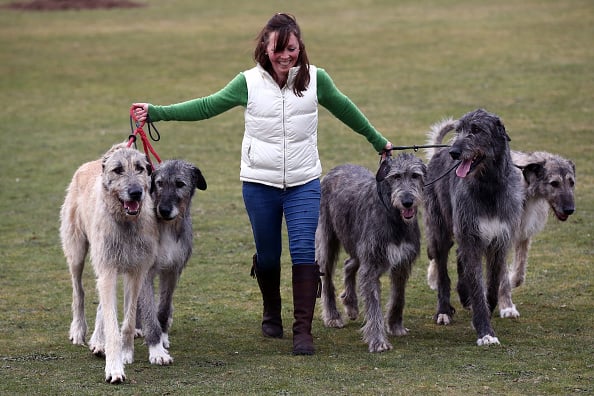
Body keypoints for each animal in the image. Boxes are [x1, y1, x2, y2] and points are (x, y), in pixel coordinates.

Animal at [59, 144, 158, 382]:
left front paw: (126, 352)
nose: (136, 192)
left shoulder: (136, 272)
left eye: (140, 168)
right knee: (79, 291)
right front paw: (114, 368)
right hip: (76, 252)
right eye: (118, 170)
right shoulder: (108, 270)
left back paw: (97, 340)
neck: (126, 223)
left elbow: (128, 320)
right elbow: (112, 325)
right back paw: (79, 330)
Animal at [135, 159, 207, 366]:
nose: (164, 210)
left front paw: (162, 337)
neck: (167, 226)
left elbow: (163, 309)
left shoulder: (173, 271)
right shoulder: (145, 272)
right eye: (159, 183)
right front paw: (156, 350)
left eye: (180, 184)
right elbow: (149, 312)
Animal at [314, 153, 426, 354]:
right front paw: (378, 341)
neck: (394, 216)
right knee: (326, 278)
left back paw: (350, 303)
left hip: (358, 243)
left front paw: (395, 325)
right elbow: (374, 305)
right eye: (396, 176)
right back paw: (333, 316)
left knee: (349, 264)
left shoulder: (402, 262)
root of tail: (336, 169)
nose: (407, 201)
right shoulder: (371, 265)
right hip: (328, 239)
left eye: (415, 175)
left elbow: (398, 296)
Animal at [420, 109, 524, 346]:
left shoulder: (499, 241)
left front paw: (487, 310)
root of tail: (438, 153)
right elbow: (477, 285)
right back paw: (443, 310)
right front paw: (485, 331)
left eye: (476, 129)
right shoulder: (472, 238)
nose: (454, 153)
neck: (489, 187)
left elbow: (492, 285)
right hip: (440, 231)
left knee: (460, 258)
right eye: (459, 130)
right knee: (443, 273)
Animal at [494, 150, 572, 318]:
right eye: (554, 183)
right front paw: (507, 307)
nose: (570, 209)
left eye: (572, 182)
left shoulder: (523, 232)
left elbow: (518, 275)